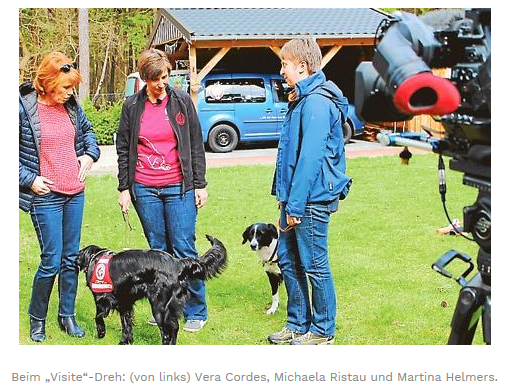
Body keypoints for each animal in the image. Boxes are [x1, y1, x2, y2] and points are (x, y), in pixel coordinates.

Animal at [76, 235, 226, 344]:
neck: (95, 258)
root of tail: (178, 263)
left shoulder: (102, 298)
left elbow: (98, 317)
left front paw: (101, 333)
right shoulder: (125, 303)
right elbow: (126, 324)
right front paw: (125, 341)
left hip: (159, 307)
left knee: (167, 331)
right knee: (174, 327)